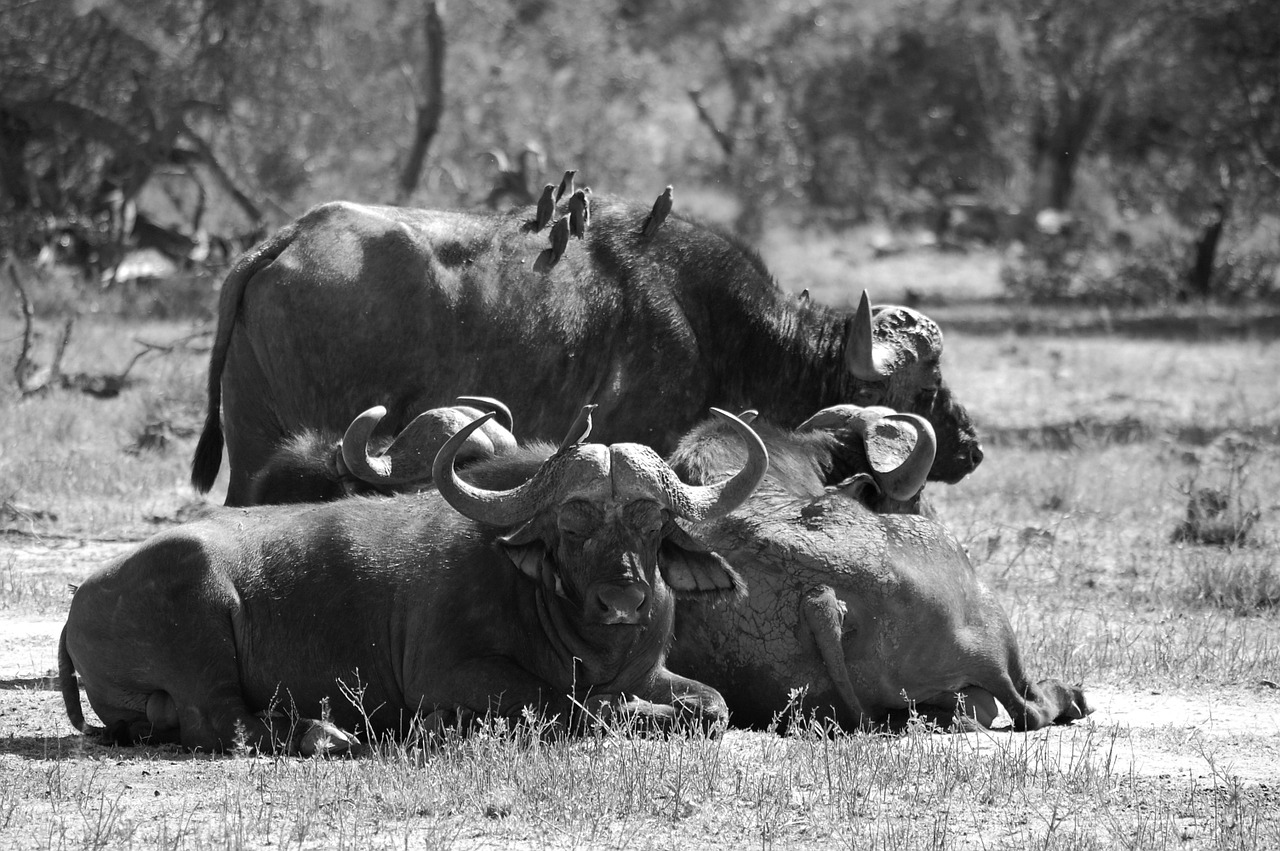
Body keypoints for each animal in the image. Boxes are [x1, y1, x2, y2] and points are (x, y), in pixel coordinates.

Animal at [62, 409, 768, 752]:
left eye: (651, 524)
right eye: (572, 523)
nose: (623, 596)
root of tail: (78, 604)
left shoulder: (654, 672)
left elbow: (714, 707)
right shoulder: (451, 674)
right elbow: (570, 705)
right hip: (202, 623)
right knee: (222, 723)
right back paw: (327, 734)